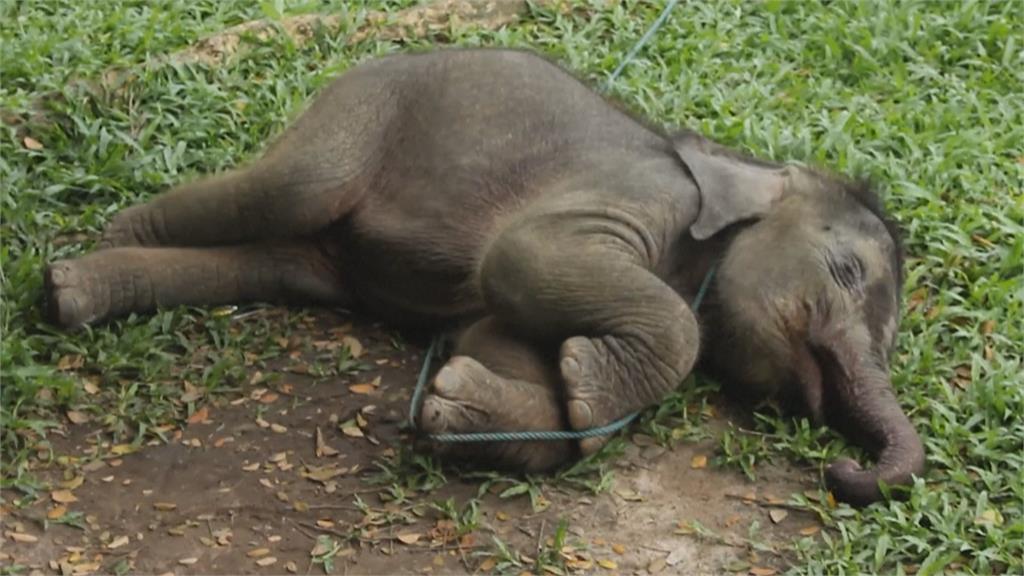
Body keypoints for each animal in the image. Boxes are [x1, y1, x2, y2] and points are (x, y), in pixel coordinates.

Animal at [43, 48, 924, 506]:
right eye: (845, 270)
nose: (841, 468)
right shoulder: (636, 194)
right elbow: (520, 258)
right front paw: (587, 388)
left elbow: (502, 344)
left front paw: (458, 400)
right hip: (362, 110)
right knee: (291, 185)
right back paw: (94, 254)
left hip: (318, 240)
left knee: (271, 260)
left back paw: (71, 293)